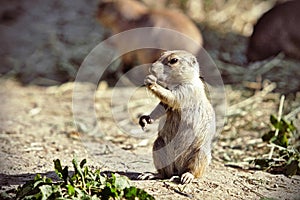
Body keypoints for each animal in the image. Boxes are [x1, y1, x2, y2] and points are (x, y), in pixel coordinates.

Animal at [138, 50, 216, 184]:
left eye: (173, 60)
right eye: (162, 54)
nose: (151, 68)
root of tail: (178, 170)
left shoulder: (186, 90)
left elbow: (171, 97)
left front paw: (151, 81)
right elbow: (161, 106)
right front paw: (145, 119)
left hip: (200, 153)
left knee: (194, 170)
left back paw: (187, 177)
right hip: (159, 146)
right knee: (165, 173)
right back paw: (150, 175)